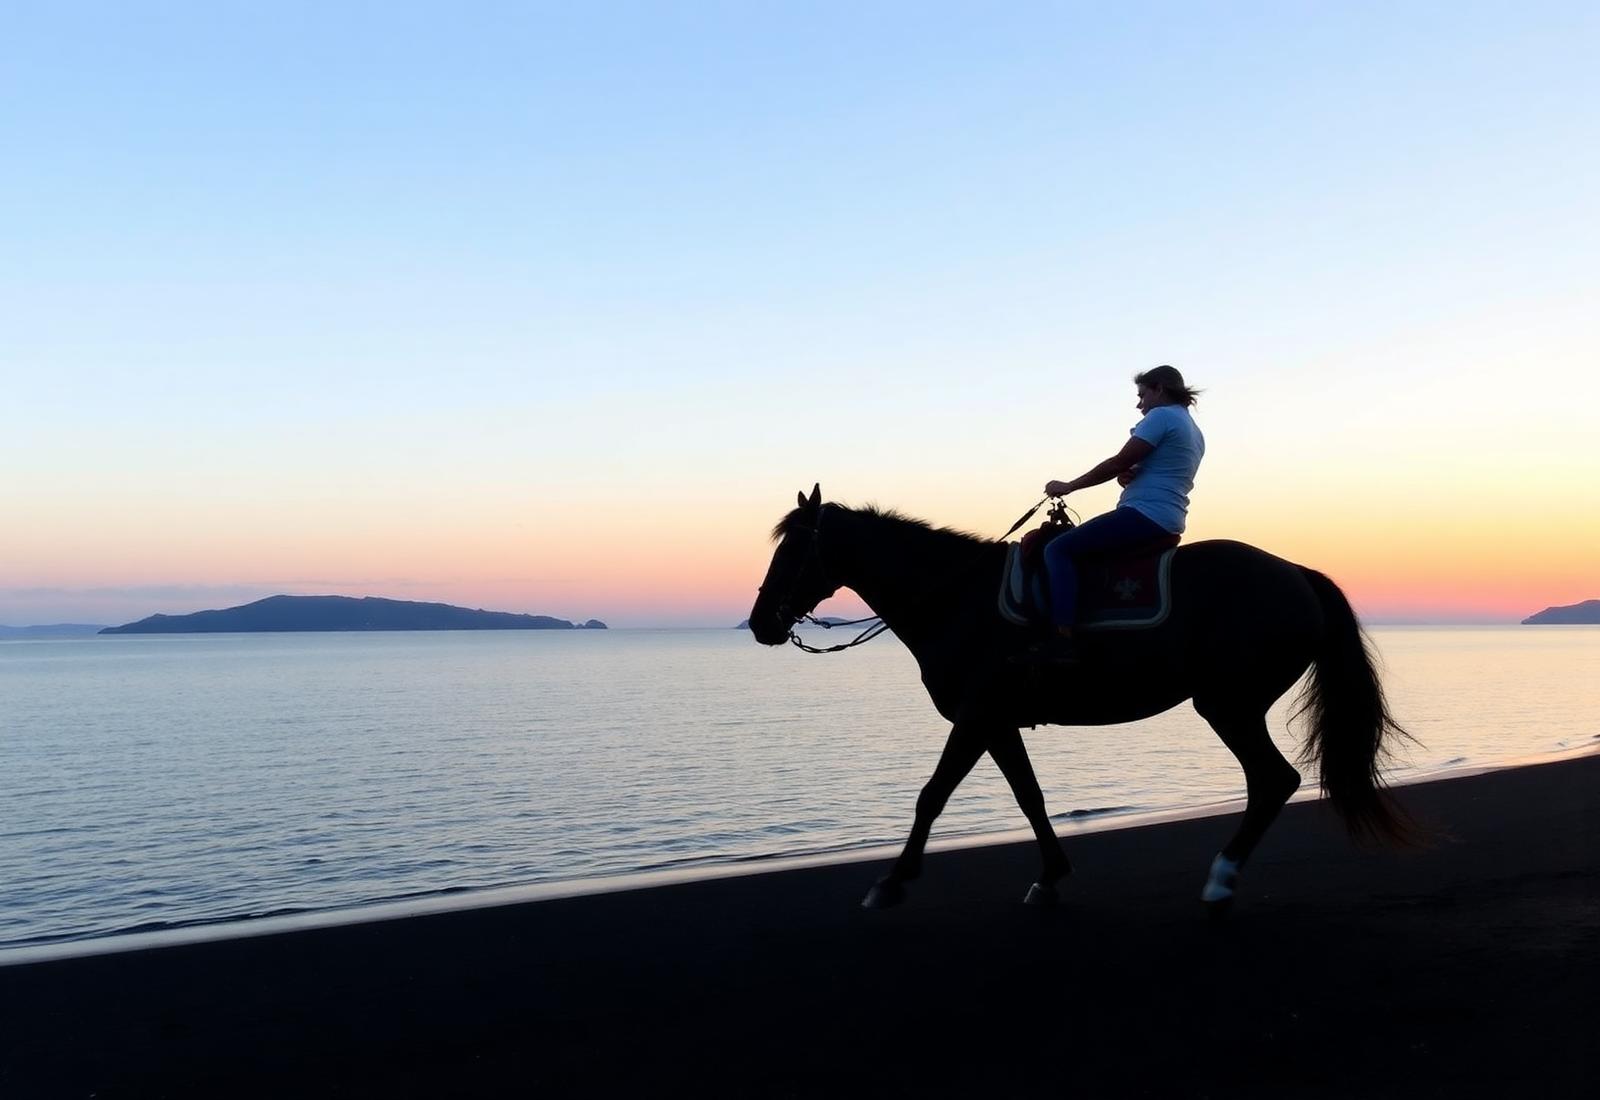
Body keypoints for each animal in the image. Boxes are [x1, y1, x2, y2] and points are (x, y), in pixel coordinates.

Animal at [747, 485, 1413, 913]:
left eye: (792, 550)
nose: (759, 624)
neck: (957, 599)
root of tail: (1298, 574)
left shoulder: (976, 715)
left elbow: (931, 796)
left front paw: (892, 881)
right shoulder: (997, 722)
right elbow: (1030, 798)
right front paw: (1049, 877)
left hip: (1228, 704)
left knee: (1273, 780)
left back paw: (1222, 877)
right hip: (1232, 705)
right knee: (1270, 782)